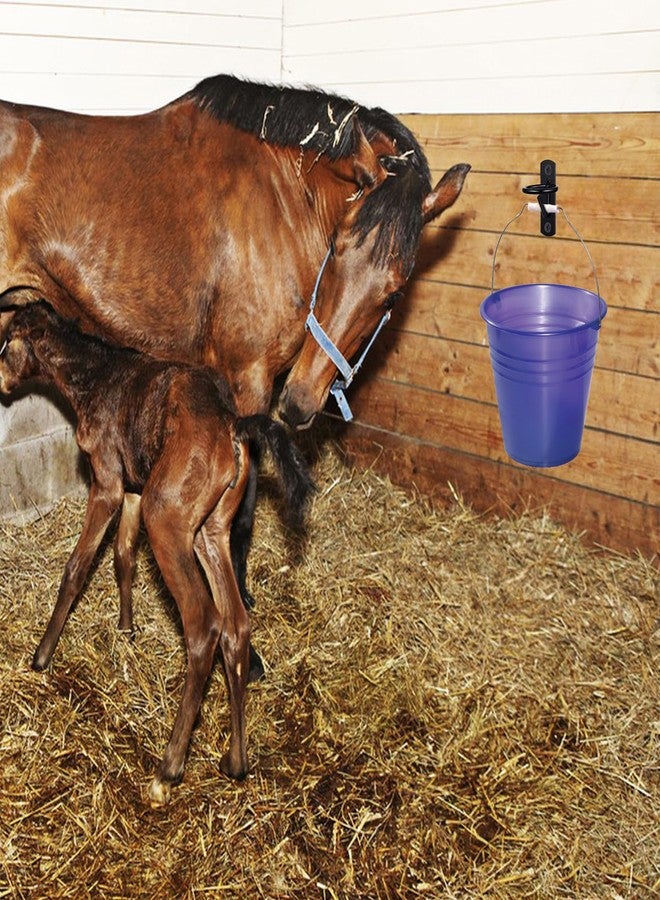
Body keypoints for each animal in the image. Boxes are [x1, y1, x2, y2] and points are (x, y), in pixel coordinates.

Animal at [0, 73, 469, 607]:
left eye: (393, 294)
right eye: (337, 248)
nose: (299, 403)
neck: (283, 201)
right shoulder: (249, 380)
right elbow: (241, 508)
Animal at [0, 301, 315, 803]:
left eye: (7, 341)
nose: (2, 381)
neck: (95, 374)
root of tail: (231, 424)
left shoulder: (108, 483)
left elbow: (78, 565)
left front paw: (42, 656)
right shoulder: (133, 489)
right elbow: (123, 556)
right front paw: (127, 629)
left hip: (166, 517)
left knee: (205, 625)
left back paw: (169, 767)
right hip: (209, 530)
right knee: (236, 624)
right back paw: (235, 761)